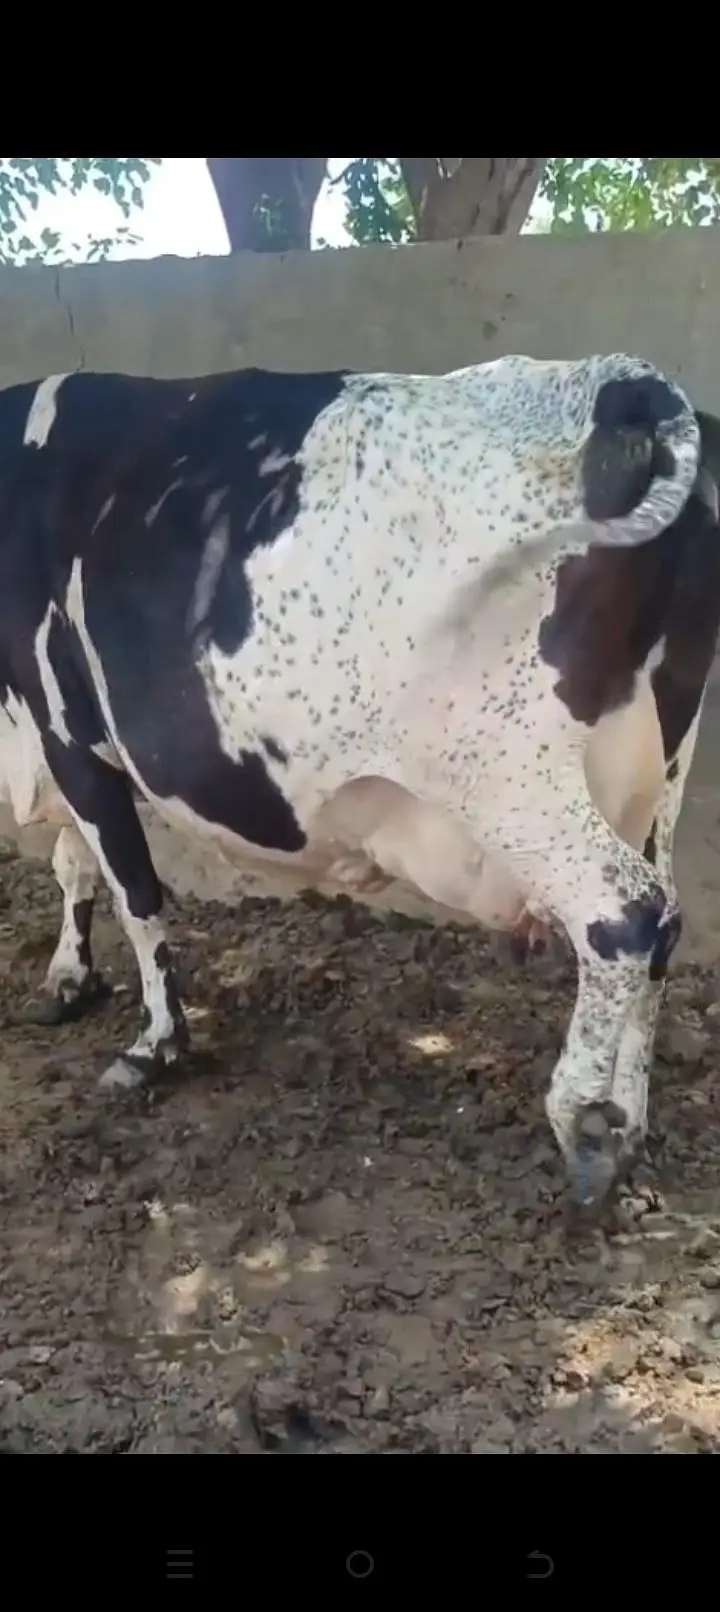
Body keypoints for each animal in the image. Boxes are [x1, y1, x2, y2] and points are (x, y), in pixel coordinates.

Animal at [0, 354, 715, 1212]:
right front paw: (70, 979)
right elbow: (76, 861)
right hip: (660, 767)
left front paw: (156, 1044)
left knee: (628, 916)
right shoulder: (61, 737)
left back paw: (583, 1124)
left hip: (513, 783)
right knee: (664, 919)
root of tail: (625, 382)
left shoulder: (64, 725)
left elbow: (134, 893)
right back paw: (627, 1122)